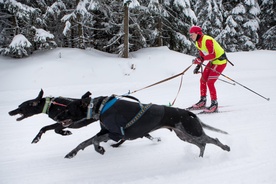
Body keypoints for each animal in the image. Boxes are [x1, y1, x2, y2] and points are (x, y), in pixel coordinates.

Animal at [57, 93, 230, 158]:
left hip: (192, 132)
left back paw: (225, 147)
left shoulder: (116, 134)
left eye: (67, 109)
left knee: (212, 140)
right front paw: (72, 153)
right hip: (185, 136)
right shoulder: (105, 133)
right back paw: (200, 157)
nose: (57, 117)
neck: (101, 107)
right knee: (203, 144)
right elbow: (84, 142)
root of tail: (187, 113)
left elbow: (93, 141)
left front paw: (99, 149)